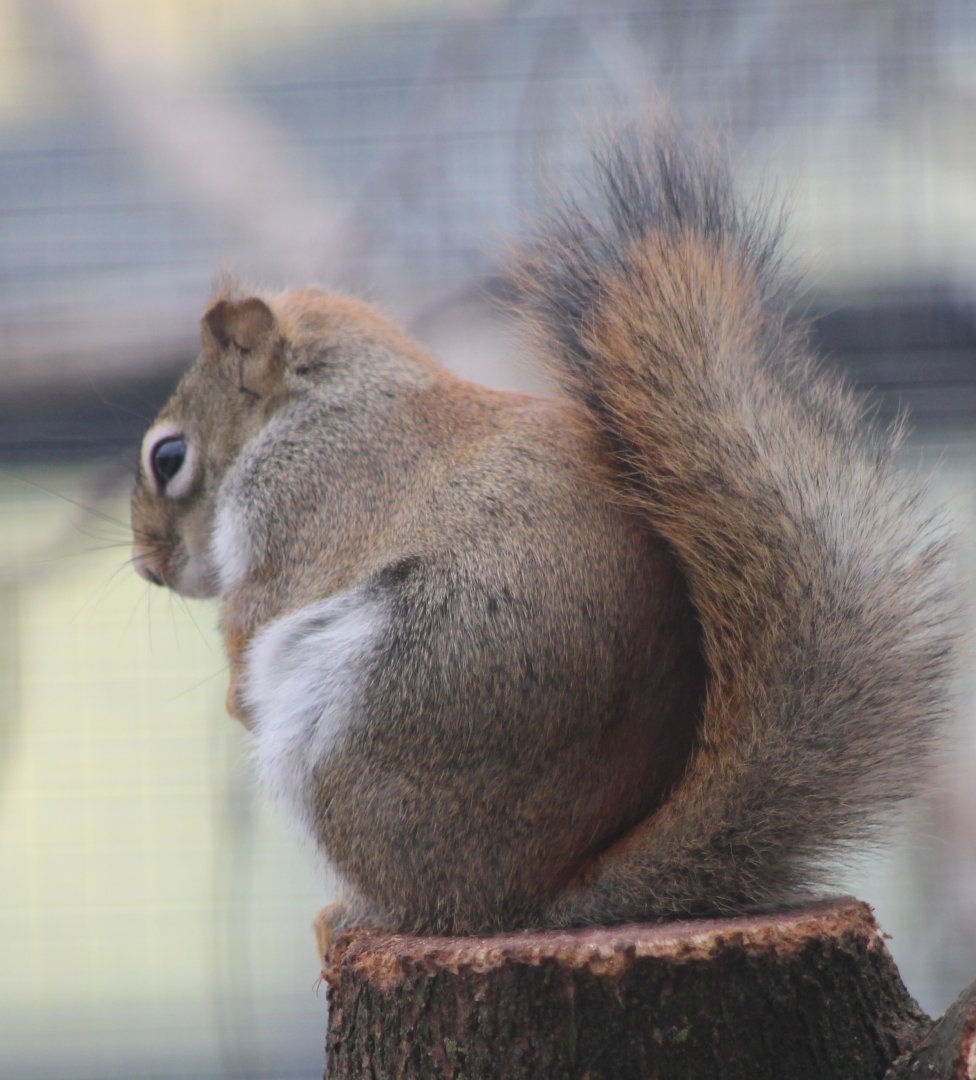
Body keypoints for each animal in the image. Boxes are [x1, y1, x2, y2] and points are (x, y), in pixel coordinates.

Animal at [130, 131, 954, 959]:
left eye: (168, 457)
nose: (148, 570)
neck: (320, 403)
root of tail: (533, 898)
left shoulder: (299, 511)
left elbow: (253, 623)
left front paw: (236, 696)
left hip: (358, 728)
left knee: (419, 902)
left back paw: (356, 912)